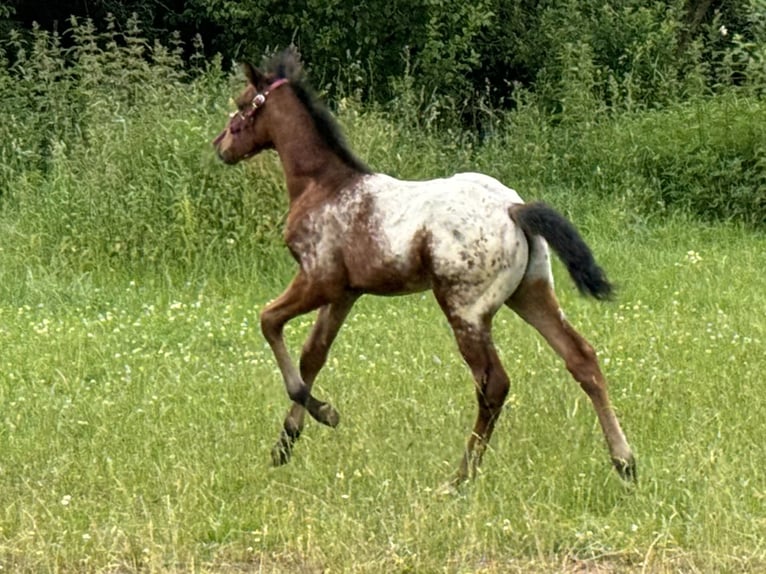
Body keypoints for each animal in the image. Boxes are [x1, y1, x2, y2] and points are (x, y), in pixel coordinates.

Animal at [213, 49, 640, 484]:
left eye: (243, 103)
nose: (221, 146)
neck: (324, 186)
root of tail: (513, 208)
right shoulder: (346, 293)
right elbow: (312, 354)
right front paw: (285, 444)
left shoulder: (318, 280)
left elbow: (269, 321)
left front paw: (325, 413)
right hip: (531, 293)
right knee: (582, 358)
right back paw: (625, 463)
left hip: (465, 309)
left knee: (494, 384)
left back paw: (460, 478)